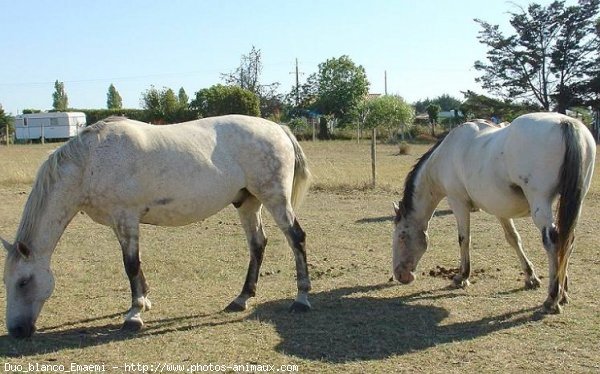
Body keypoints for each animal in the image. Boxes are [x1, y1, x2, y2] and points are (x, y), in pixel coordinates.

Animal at [3, 114, 314, 338]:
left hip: (274, 198)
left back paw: (301, 299)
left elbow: (131, 264)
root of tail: (278, 129)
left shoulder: (125, 217)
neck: (90, 161)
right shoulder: (119, 223)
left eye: (23, 281)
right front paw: (144, 301)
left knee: (296, 238)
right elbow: (134, 264)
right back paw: (241, 298)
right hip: (248, 202)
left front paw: (134, 315)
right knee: (257, 244)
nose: (16, 331)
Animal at [394, 112, 596, 314]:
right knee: (567, 241)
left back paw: (552, 299)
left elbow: (463, 239)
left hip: (541, 203)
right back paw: (563, 293)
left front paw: (462, 277)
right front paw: (530, 277)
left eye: (402, 236)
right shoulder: (500, 209)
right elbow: (513, 239)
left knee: (553, 242)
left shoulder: (458, 202)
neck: (445, 155)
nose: (400, 275)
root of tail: (565, 122)